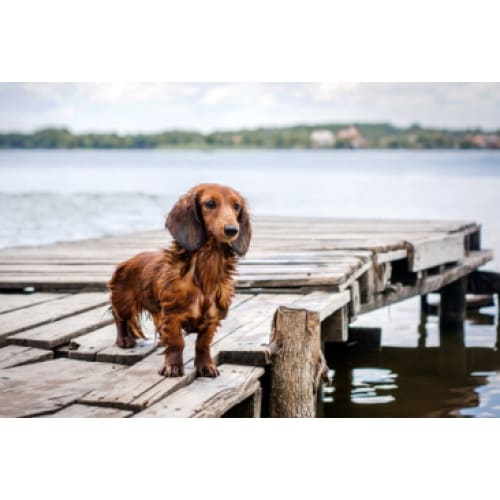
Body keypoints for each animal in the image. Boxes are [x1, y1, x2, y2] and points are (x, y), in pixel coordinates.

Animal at [108, 186, 252, 376]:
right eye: (210, 204)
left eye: (236, 206)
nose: (231, 230)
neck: (206, 267)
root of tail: (128, 261)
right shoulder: (172, 315)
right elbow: (177, 342)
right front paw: (173, 366)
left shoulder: (212, 318)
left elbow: (202, 344)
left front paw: (206, 366)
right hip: (123, 301)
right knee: (119, 318)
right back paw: (124, 340)